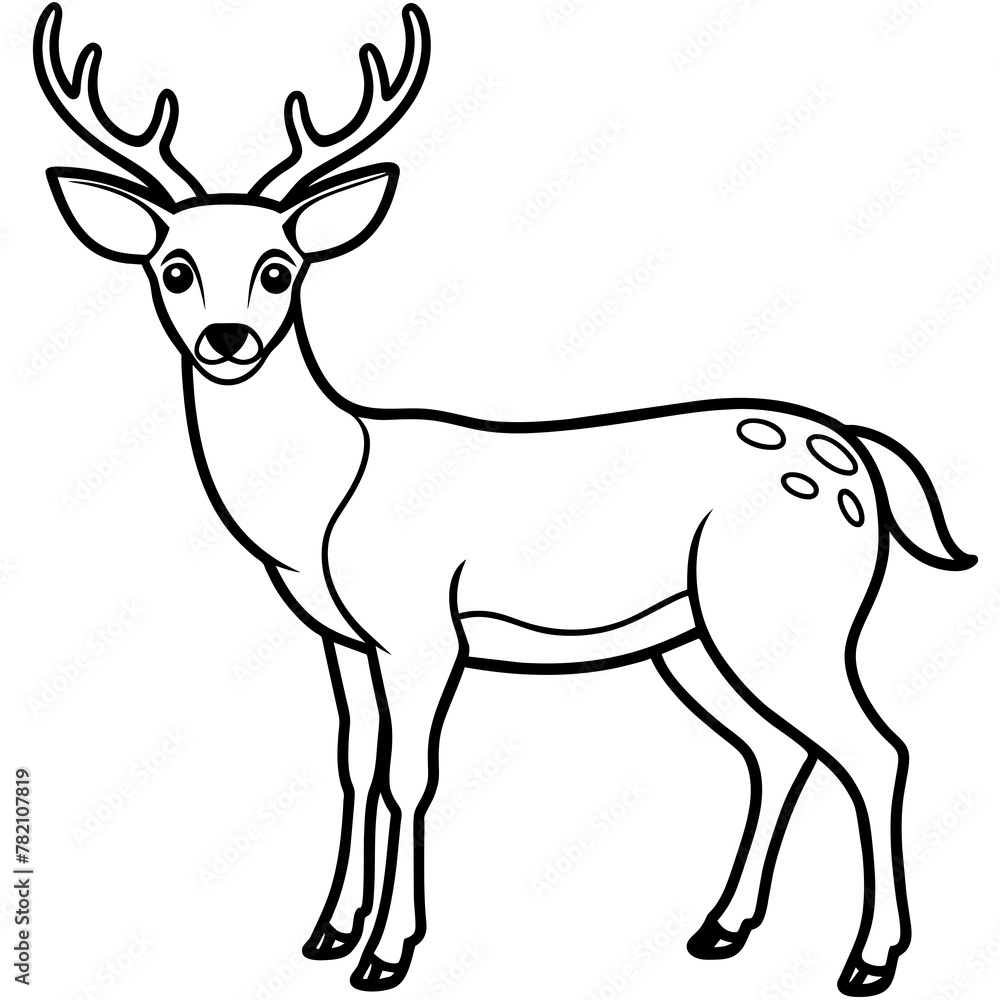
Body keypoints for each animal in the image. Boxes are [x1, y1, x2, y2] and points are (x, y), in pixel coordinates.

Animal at [35, 3, 976, 995]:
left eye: (281, 268)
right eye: (173, 267)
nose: (228, 339)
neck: (325, 504)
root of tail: (861, 454)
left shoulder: (422, 627)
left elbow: (410, 776)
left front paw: (387, 953)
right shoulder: (342, 638)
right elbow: (353, 765)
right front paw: (327, 932)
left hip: (791, 608)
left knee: (875, 749)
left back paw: (868, 960)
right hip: (695, 635)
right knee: (778, 749)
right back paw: (721, 930)